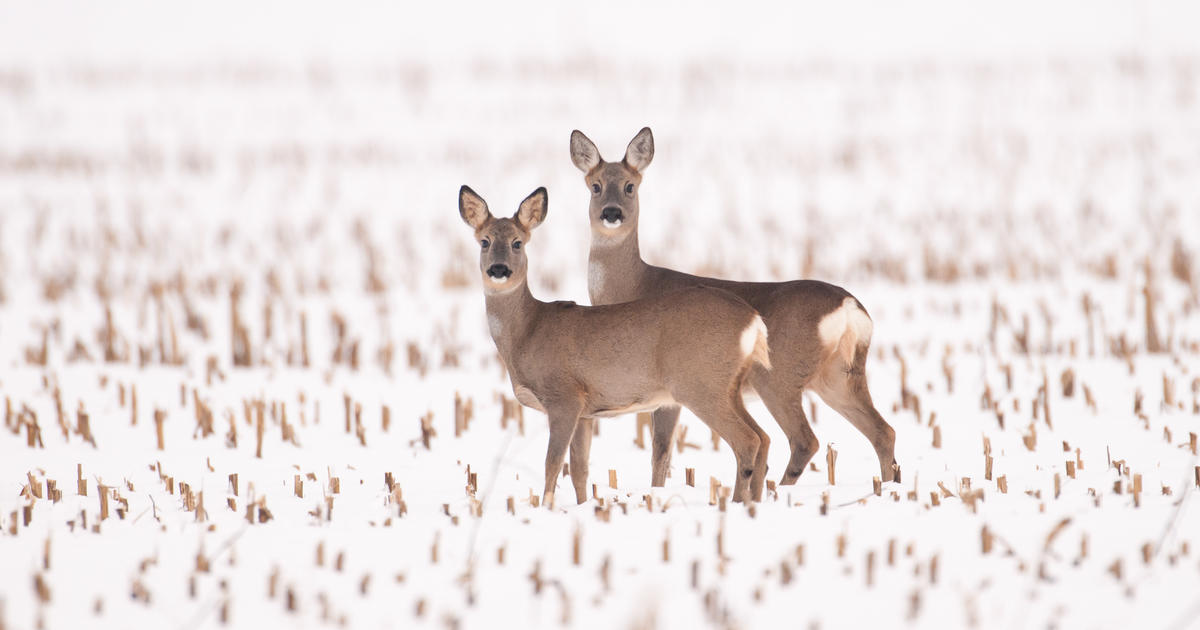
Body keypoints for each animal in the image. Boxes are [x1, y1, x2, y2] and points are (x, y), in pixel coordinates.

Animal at [458, 184, 773, 506]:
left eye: (517, 243)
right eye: (484, 241)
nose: (498, 269)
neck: (527, 333)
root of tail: (753, 319)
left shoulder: (564, 397)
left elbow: (553, 463)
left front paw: (546, 507)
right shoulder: (585, 411)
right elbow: (580, 469)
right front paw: (583, 506)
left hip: (700, 384)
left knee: (747, 440)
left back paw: (736, 503)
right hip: (728, 386)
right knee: (763, 437)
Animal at [569, 127, 898, 488]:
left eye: (630, 186)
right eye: (595, 185)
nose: (611, 213)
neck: (634, 285)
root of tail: (850, 308)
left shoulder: (668, 391)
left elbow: (660, 451)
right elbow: (663, 453)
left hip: (779, 377)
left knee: (803, 440)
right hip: (839, 376)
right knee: (883, 431)